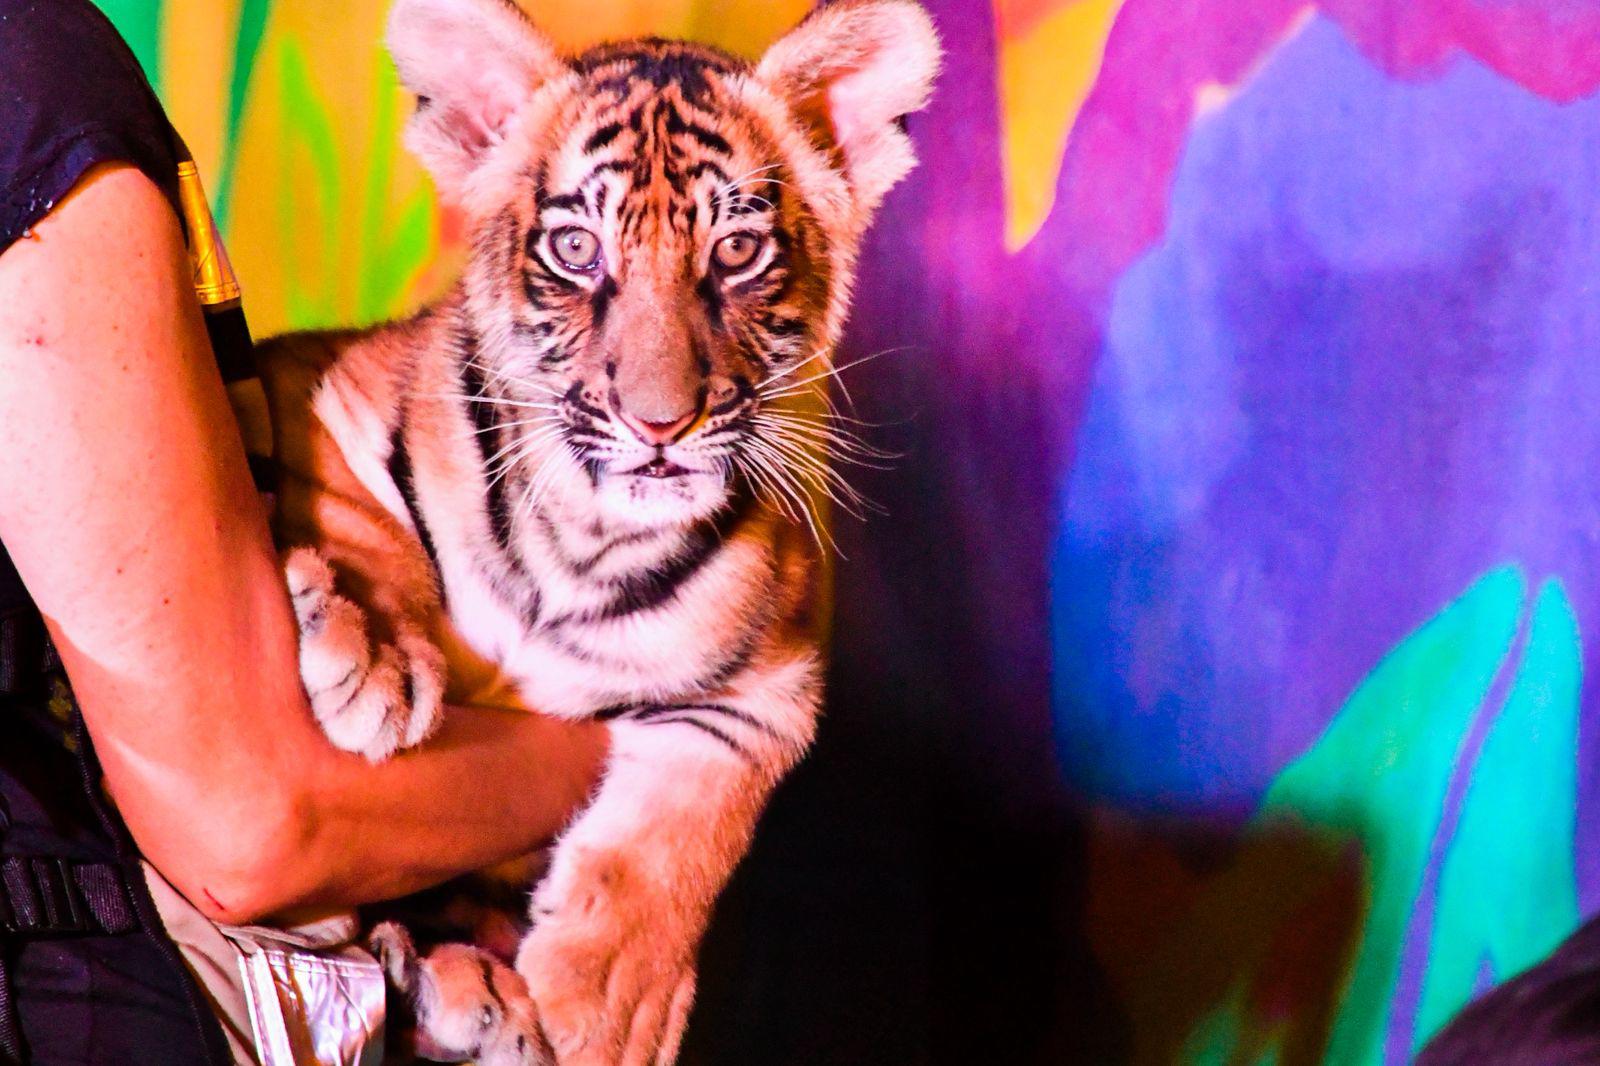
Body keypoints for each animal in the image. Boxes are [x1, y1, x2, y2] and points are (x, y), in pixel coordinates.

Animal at [255, 0, 940, 1062]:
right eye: (577, 251)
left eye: (735, 253)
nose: (660, 424)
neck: (586, 535)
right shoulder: (314, 389)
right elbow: (360, 513)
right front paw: (374, 659)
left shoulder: (768, 691)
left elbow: (679, 835)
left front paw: (606, 1011)